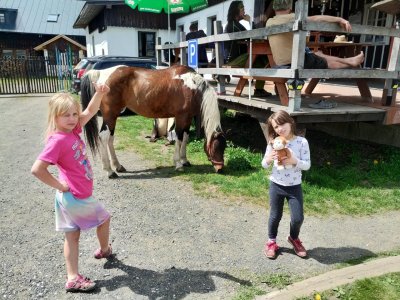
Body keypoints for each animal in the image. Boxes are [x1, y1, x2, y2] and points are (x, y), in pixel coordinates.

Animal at [79, 65, 227, 178]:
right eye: (215, 147)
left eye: (224, 147)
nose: (220, 169)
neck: (191, 85)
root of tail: (101, 73)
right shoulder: (181, 117)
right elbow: (179, 139)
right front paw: (178, 164)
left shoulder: (188, 118)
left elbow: (185, 138)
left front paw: (185, 160)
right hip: (110, 115)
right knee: (104, 137)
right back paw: (110, 171)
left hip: (113, 116)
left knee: (110, 138)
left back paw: (118, 166)